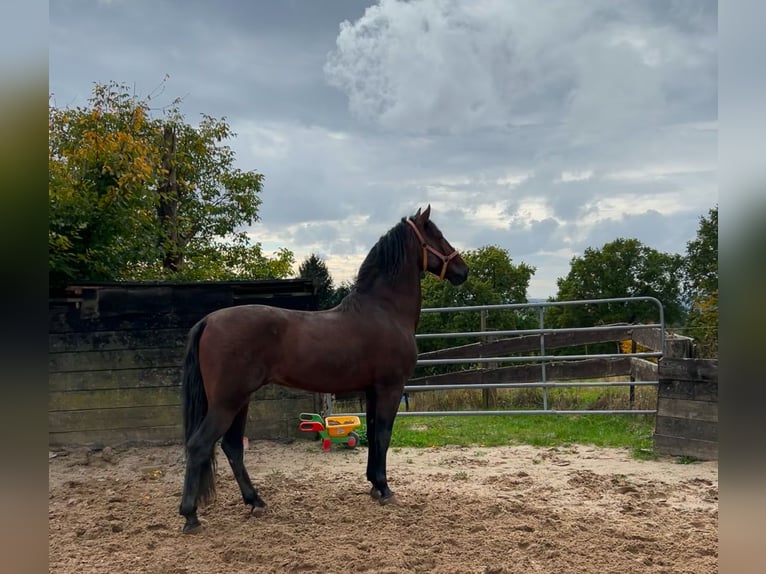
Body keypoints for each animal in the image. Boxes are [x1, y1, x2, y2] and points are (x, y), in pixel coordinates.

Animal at [178, 207, 468, 536]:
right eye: (436, 234)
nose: (463, 270)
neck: (384, 310)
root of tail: (209, 321)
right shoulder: (390, 388)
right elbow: (383, 435)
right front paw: (385, 489)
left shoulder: (371, 391)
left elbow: (372, 433)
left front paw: (373, 485)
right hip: (227, 402)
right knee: (199, 446)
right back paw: (191, 516)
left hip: (239, 401)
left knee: (231, 447)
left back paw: (255, 501)